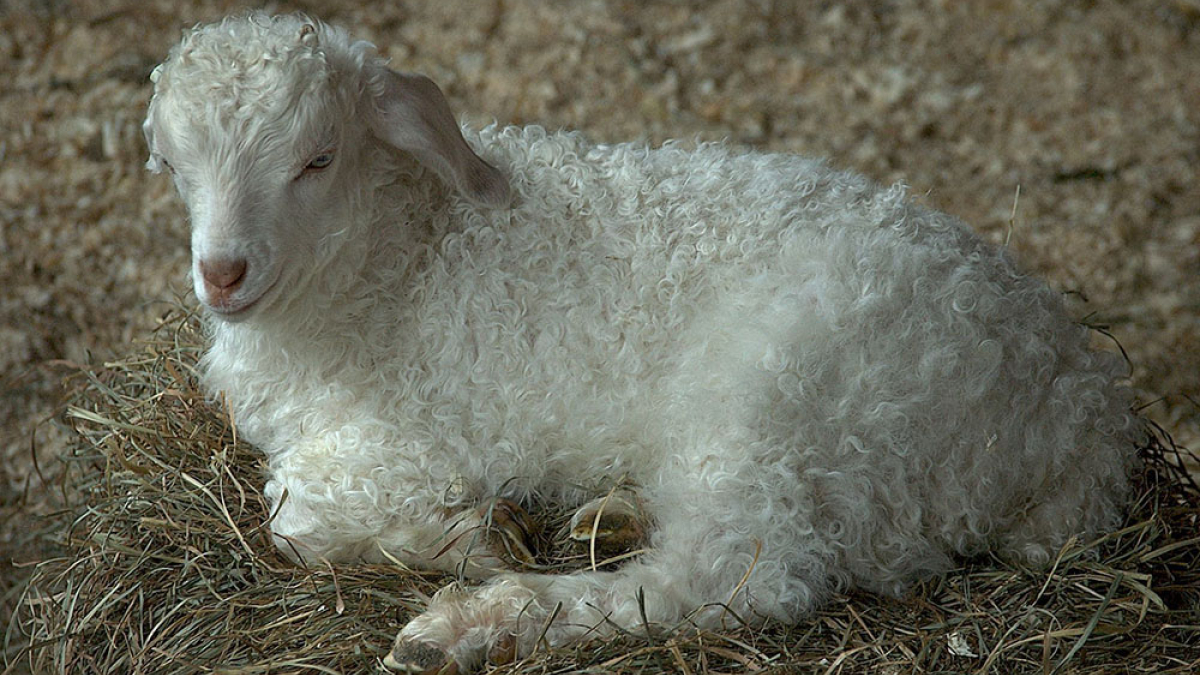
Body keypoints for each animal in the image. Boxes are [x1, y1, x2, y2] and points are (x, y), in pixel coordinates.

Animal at [142, 12, 1139, 673]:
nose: (222, 271)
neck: (400, 256)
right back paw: (609, 514)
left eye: (317, 158)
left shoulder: (416, 438)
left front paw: (474, 538)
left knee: (733, 577)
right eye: (175, 165)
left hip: (782, 401)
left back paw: (473, 625)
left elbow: (291, 517)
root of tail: (1074, 412)